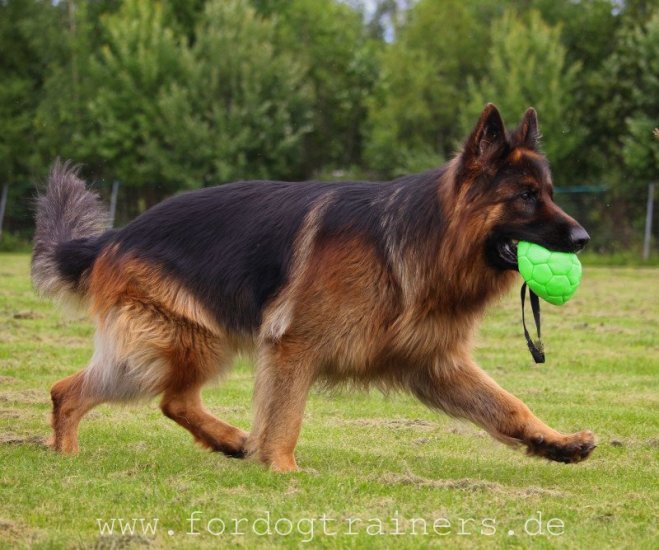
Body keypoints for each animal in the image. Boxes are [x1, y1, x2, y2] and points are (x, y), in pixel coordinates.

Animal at [33, 105, 596, 472]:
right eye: (526, 196)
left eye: (548, 192)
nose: (583, 239)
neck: (422, 239)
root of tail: (115, 235)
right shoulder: (294, 345)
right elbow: (286, 417)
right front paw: (281, 472)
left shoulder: (435, 364)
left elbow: (508, 406)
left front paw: (557, 443)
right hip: (176, 343)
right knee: (76, 391)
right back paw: (67, 454)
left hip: (189, 344)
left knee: (167, 400)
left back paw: (229, 441)